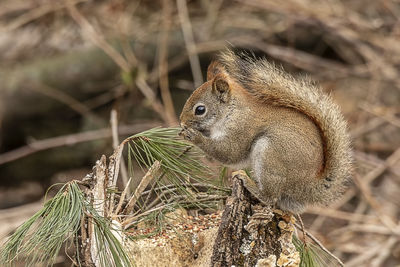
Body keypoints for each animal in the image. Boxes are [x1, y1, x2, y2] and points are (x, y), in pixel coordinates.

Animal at [180, 49, 352, 214]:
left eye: (200, 110)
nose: (181, 122)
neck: (232, 111)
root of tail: (307, 188)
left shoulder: (242, 128)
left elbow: (230, 152)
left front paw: (193, 136)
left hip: (271, 155)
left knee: (270, 198)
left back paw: (249, 183)